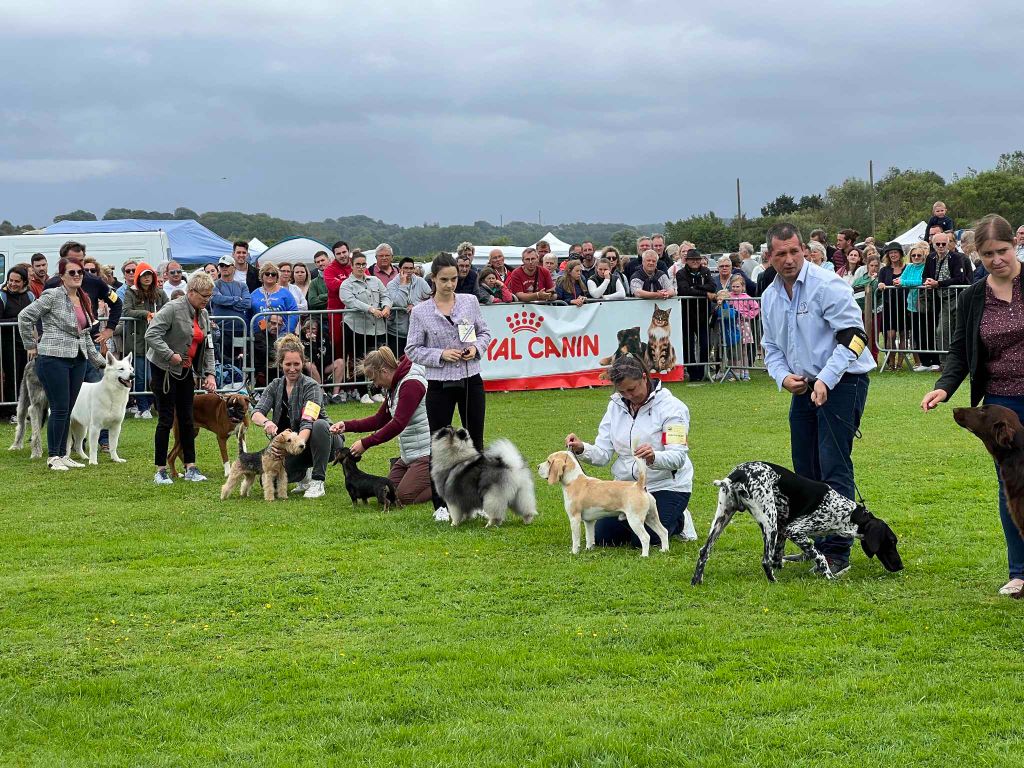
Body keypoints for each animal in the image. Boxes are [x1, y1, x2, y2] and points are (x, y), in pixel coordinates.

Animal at [536, 450, 671, 561]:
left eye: (548, 461)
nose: (537, 467)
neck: (573, 480)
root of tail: (639, 485)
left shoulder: (574, 518)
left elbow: (575, 539)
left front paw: (574, 552)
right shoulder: (589, 521)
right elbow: (590, 537)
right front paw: (588, 550)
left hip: (635, 520)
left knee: (646, 537)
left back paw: (644, 555)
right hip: (651, 518)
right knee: (664, 532)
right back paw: (664, 550)